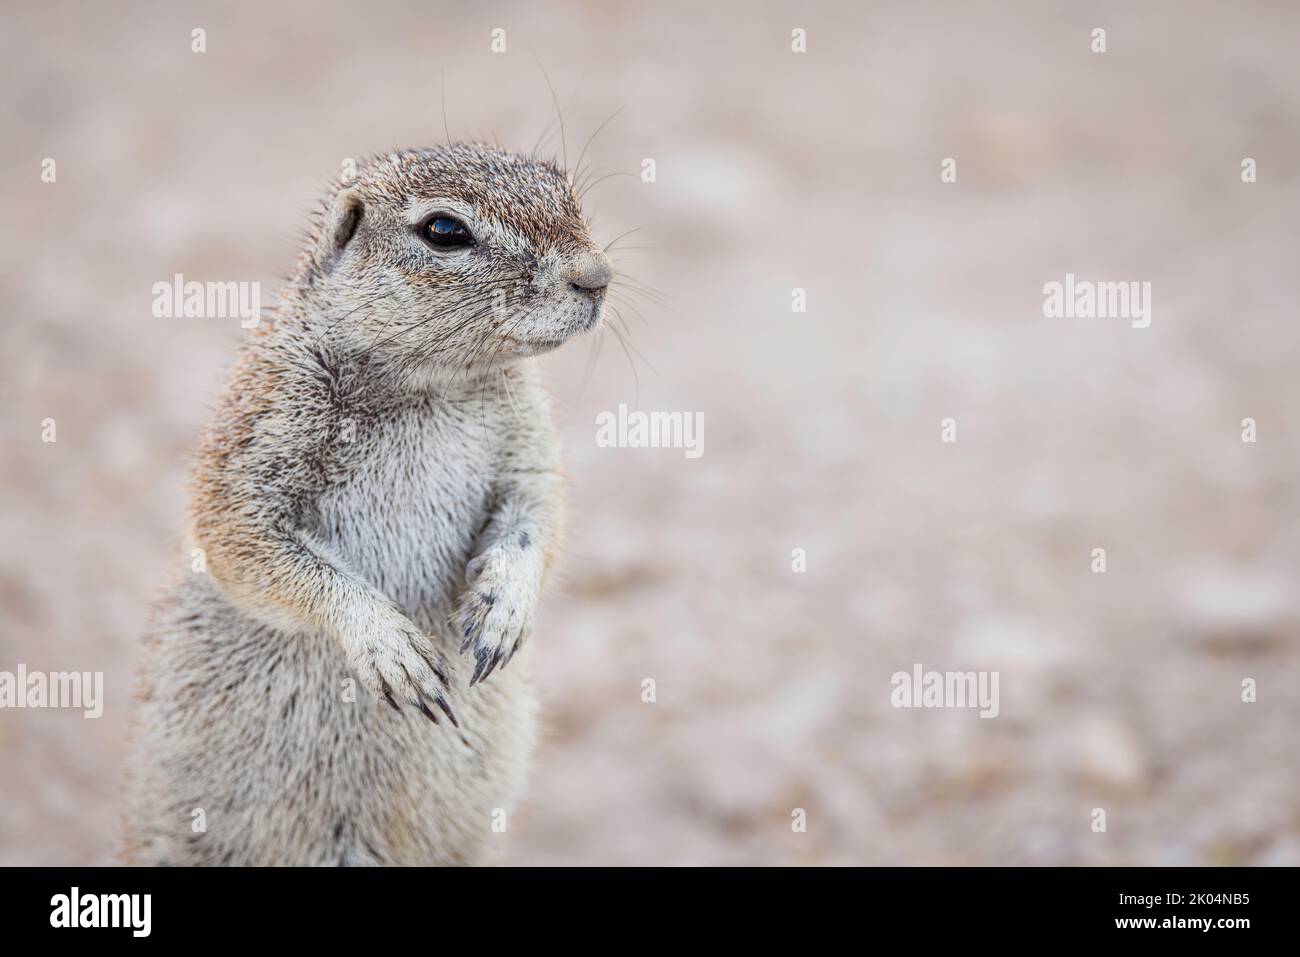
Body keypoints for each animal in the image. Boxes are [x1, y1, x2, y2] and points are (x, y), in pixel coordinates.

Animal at [122, 143, 608, 868]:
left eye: (562, 185)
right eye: (444, 230)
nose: (597, 277)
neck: (433, 384)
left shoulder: (528, 440)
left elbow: (538, 509)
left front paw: (504, 608)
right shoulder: (259, 427)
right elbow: (243, 537)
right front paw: (388, 646)